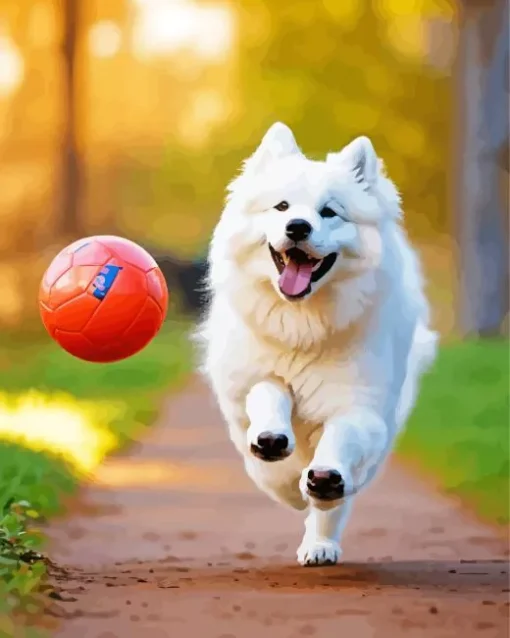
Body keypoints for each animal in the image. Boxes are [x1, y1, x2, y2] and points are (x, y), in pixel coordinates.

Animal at [195, 122, 438, 568]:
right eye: (282, 207)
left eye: (329, 212)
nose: (298, 227)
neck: (303, 328)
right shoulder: (250, 382)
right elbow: (268, 397)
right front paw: (273, 443)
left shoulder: (360, 405)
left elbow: (340, 441)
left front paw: (323, 481)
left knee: (335, 501)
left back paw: (320, 540)